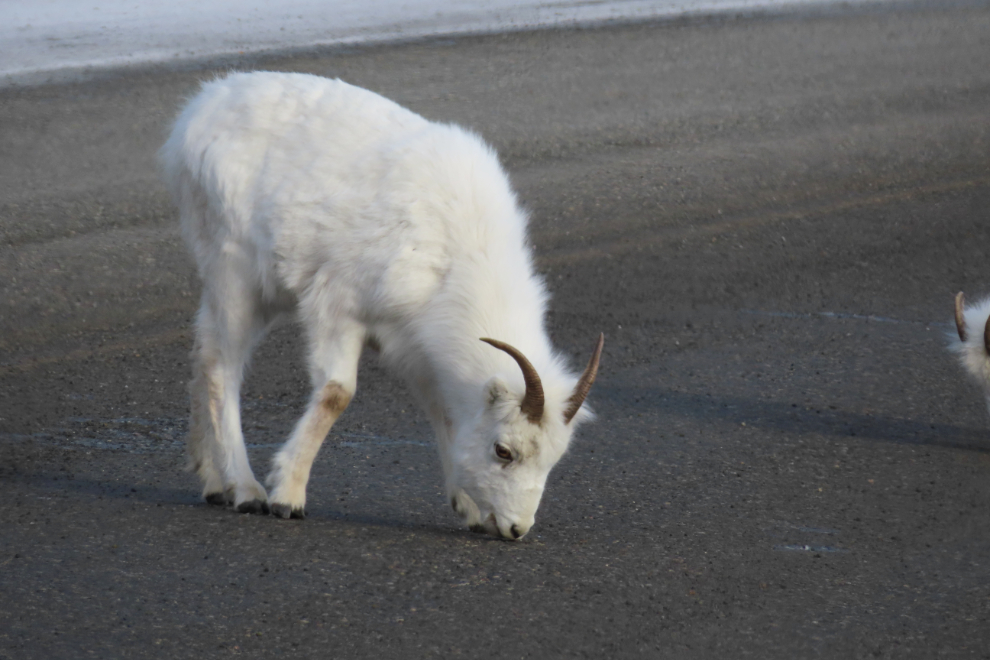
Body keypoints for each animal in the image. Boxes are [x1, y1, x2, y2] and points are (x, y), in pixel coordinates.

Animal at [159, 71, 603, 540]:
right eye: (504, 451)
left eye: (553, 459)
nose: (516, 529)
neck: (455, 256)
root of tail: (197, 112)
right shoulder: (338, 310)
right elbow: (336, 394)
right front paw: (288, 498)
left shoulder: (416, 349)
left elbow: (443, 413)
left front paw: (467, 509)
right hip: (237, 277)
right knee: (222, 367)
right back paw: (246, 490)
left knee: (203, 352)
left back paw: (212, 482)